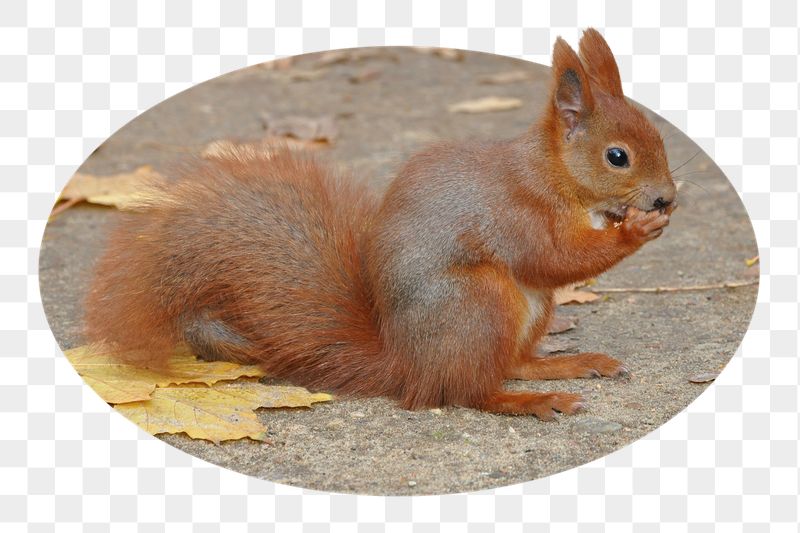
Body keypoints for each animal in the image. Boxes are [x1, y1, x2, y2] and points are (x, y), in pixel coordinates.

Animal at [84, 29, 676, 420]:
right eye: (618, 157)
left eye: (658, 139)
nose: (667, 198)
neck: (552, 173)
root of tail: (407, 367)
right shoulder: (516, 212)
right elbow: (554, 257)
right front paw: (635, 229)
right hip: (477, 301)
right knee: (469, 391)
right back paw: (531, 400)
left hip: (523, 312)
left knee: (511, 363)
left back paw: (569, 365)